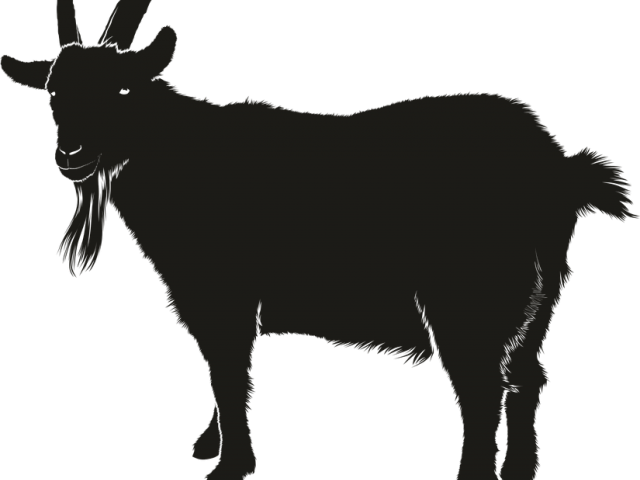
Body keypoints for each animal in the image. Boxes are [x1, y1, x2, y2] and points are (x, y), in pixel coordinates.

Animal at [2, 2, 637, 479]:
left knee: (481, 394)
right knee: (527, 379)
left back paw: (475, 473)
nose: (72, 155)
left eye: (124, 91)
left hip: (471, 302)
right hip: (539, 298)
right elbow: (217, 374)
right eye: (54, 94)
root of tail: (556, 170)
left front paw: (231, 464)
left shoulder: (226, 300)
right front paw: (209, 444)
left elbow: (230, 377)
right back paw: (522, 470)